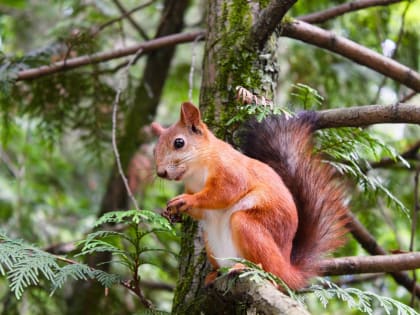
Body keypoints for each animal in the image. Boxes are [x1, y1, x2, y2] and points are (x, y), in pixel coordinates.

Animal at [151, 102, 348, 290]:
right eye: (154, 150)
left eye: (179, 143)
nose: (161, 173)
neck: (197, 171)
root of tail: (287, 269)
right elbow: (202, 211)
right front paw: (171, 211)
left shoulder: (231, 172)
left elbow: (223, 193)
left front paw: (187, 200)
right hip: (211, 242)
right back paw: (215, 274)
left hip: (249, 227)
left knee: (270, 270)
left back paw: (248, 268)